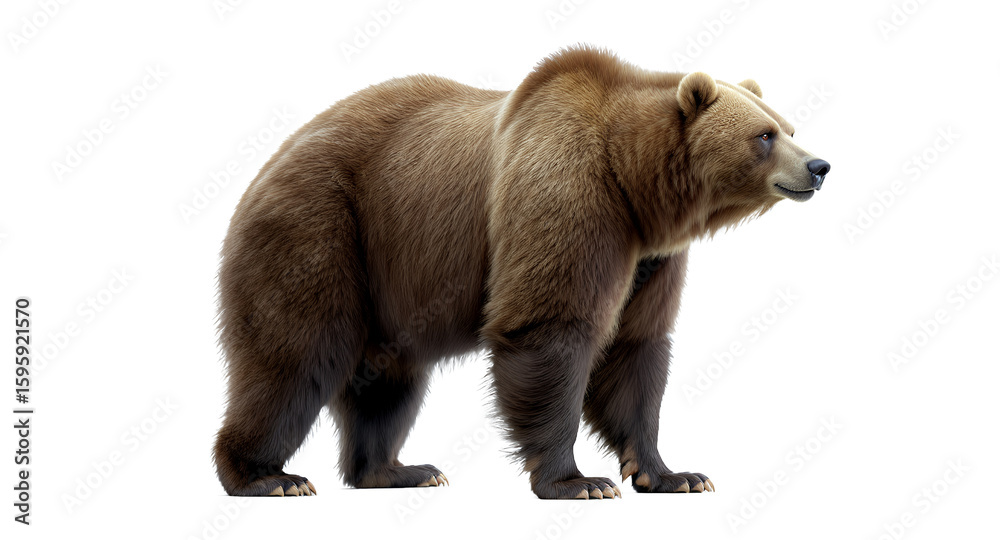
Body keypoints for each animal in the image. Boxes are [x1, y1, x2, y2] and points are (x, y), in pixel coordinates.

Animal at [212, 45, 830, 499]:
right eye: (765, 135)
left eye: (790, 127)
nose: (819, 166)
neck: (635, 186)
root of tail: (267, 165)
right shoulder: (566, 191)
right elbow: (549, 329)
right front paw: (578, 481)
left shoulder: (648, 259)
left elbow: (636, 350)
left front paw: (675, 473)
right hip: (326, 226)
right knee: (296, 356)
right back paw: (268, 476)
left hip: (386, 277)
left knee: (387, 379)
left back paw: (398, 469)